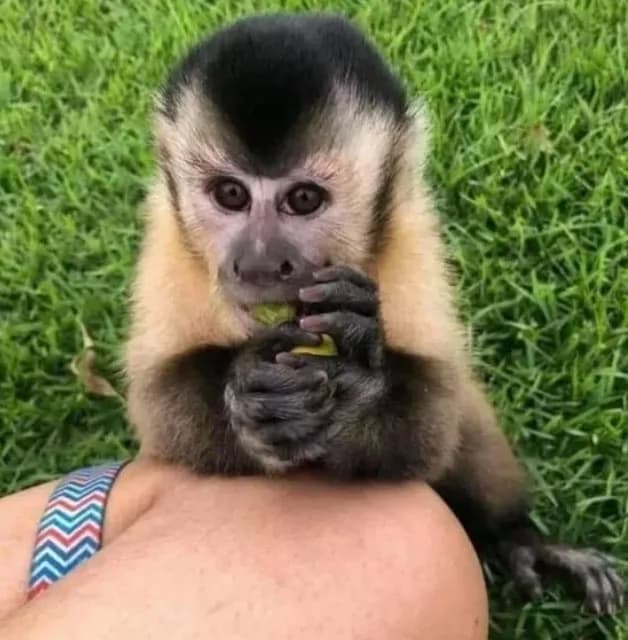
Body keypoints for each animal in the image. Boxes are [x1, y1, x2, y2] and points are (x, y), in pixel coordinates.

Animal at [124, 13, 624, 614]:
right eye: (230, 194)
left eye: (303, 200)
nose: (261, 262)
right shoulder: (167, 236)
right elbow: (159, 408)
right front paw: (244, 389)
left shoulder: (409, 226)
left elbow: (434, 414)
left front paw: (362, 375)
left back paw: (515, 537)